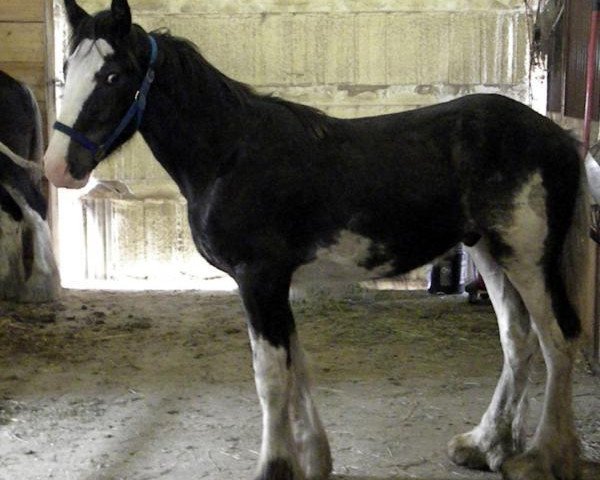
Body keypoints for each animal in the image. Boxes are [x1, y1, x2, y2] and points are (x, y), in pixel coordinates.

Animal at [45, 1, 592, 478]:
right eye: (68, 69)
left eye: (113, 76)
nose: (58, 168)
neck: (229, 156)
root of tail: (559, 137)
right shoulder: (277, 284)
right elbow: (297, 365)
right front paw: (313, 458)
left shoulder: (258, 280)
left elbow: (271, 376)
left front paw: (274, 466)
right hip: (491, 254)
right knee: (517, 340)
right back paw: (486, 446)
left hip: (528, 258)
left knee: (558, 339)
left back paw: (542, 458)